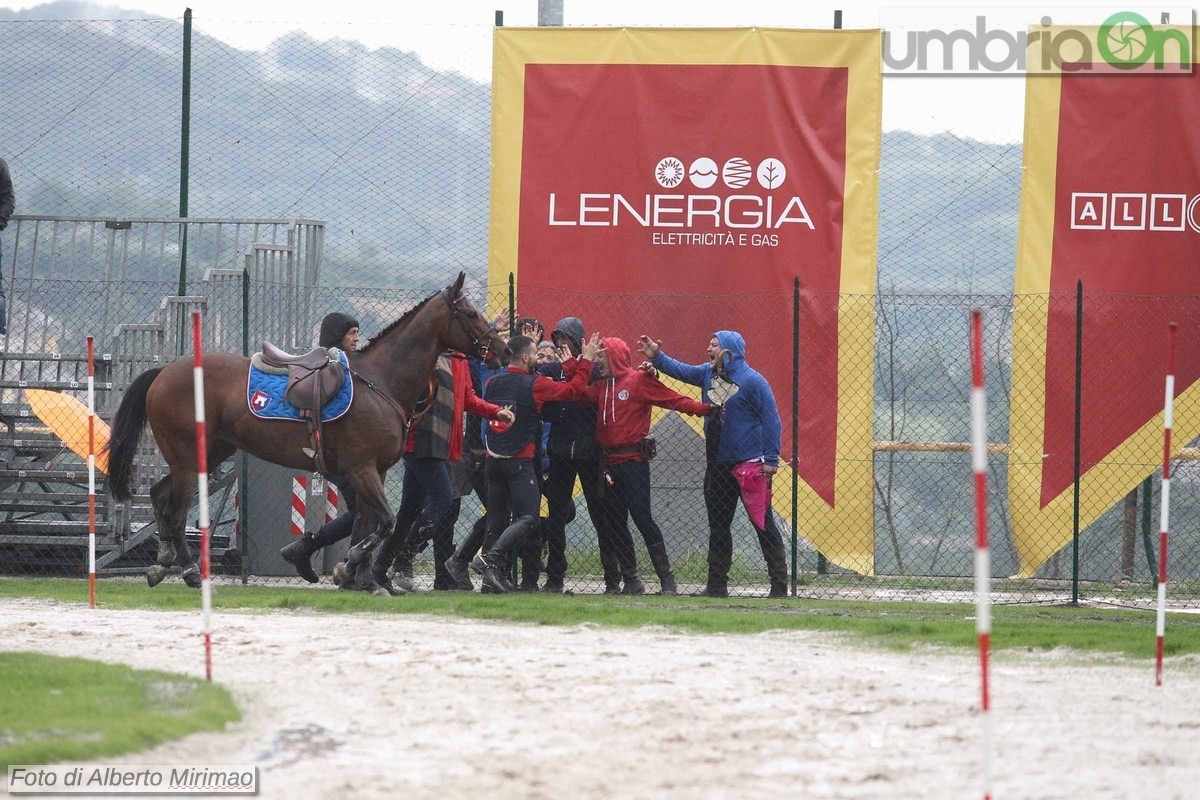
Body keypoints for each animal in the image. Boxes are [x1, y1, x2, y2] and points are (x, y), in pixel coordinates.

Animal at [102, 273, 506, 587]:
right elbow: (385, 523)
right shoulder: (363, 469)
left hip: (209, 452)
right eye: (471, 313)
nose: (501, 350)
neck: (379, 381)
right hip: (189, 457)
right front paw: (353, 564)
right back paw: (187, 569)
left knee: (160, 495)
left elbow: (367, 524)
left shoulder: (370, 472)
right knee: (176, 509)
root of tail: (164, 372)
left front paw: (357, 575)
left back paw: (163, 560)